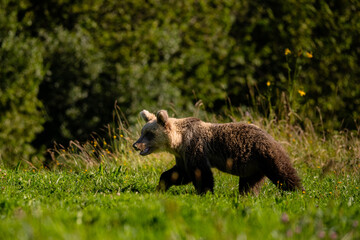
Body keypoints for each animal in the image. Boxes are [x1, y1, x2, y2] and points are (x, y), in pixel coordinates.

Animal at [132, 109, 300, 194]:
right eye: (142, 132)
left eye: (149, 134)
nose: (135, 145)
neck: (179, 141)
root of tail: (271, 137)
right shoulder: (182, 155)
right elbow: (179, 173)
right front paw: (161, 186)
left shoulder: (195, 148)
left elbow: (201, 172)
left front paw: (205, 192)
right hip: (253, 166)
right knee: (249, 183)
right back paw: (247, 195)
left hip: (265, 154)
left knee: (283, 172)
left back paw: (297, 192)